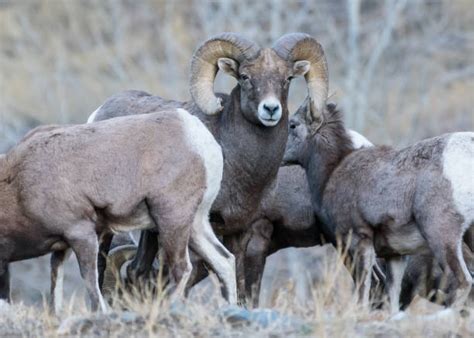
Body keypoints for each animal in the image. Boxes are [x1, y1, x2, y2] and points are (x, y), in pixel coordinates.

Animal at [0, 109, 237, 312]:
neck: (18, 184)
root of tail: (198, 137)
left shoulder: (81, 235)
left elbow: (91, 282)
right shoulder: (62, 248)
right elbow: (55, 286)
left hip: (172, 221)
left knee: (181, 268)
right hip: (195, 225)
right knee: (224, 261)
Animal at [87, 33, 328, 302]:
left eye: (287, 79)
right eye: (245, 77)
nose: (270, 109)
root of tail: (98, 113)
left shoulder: (239, 231)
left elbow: (237, 279)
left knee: (138, 271)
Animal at [284, 101, 472, 312]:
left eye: (292, 125)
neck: (334, 170)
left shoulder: (360, 241)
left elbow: (363, 290)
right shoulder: (395, 255)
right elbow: (392, 298)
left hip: (442, 234)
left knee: (463, 282)